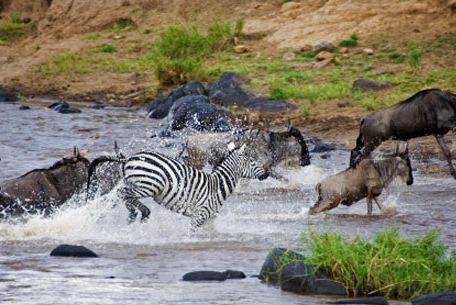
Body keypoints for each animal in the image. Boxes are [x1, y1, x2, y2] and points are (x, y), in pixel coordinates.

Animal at [86, 144, 268, 229]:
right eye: (252, 162)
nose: (266, 174)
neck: (218, 185)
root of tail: (129, 158)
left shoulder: (209, 217)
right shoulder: (200, 214)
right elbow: (191, 233)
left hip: (135, 182)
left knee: (121, 196)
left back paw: (134, 215)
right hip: (148, 185)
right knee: (123, 193)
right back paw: (141, 213)